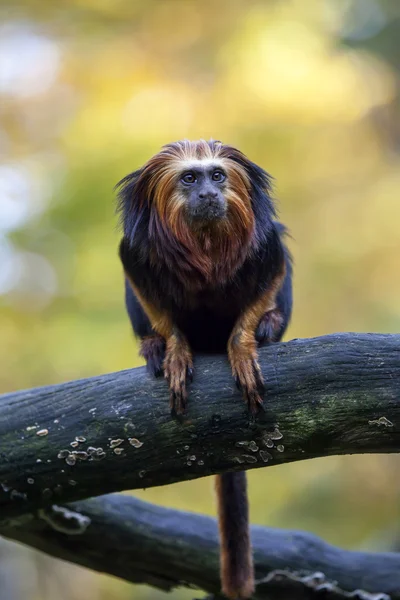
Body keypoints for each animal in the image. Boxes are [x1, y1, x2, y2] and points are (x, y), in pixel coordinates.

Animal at [117, 141, 292, 600]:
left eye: (217, 175)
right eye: (190, 178)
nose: (209, 194)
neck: (205, 242)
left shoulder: (266, 245)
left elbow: (271, 272)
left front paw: (245, 343)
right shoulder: (136, 251)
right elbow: (152, 300)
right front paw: (174, 349)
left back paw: (268, 328)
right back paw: (154, 346)